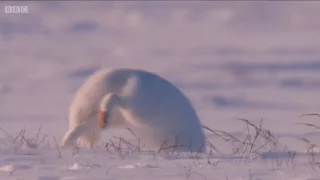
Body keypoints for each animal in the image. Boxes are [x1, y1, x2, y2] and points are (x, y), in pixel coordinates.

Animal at [61, 68, 206, 153]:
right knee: (115, 97)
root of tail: (131, 74)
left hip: (121, 117)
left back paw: (65, 146)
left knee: (81, 127)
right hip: (137, 108)